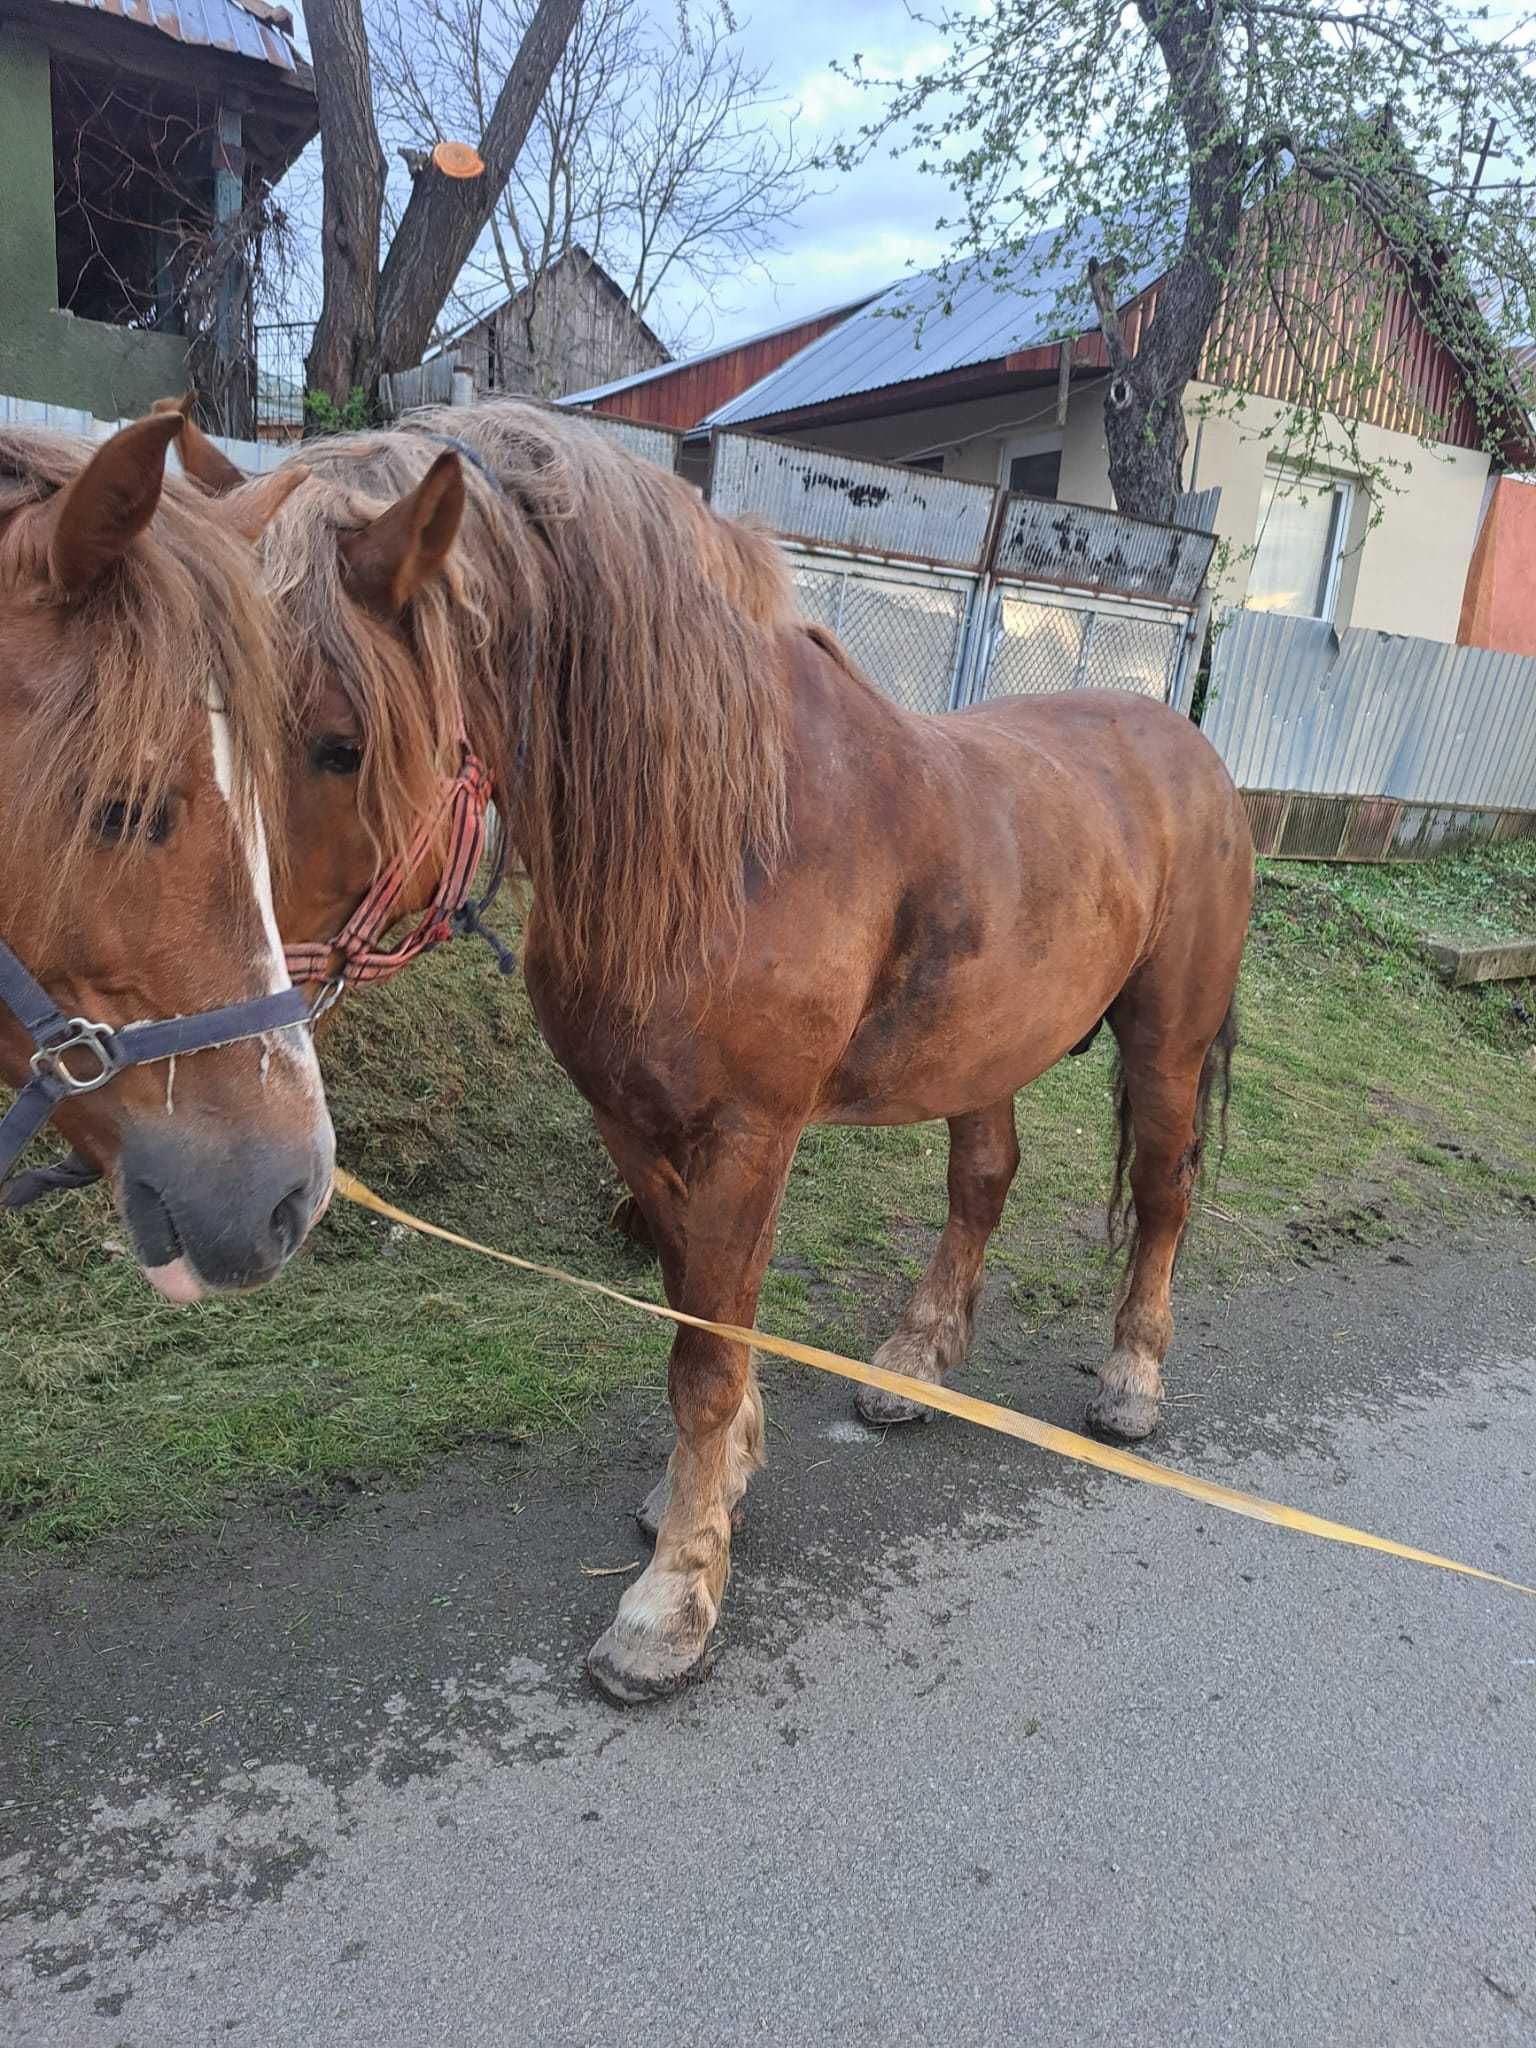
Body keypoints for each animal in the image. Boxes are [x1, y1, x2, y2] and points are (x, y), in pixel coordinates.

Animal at [177, 395, 1253, 1695]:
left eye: (340, 743)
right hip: (982, 1048)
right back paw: (913, 1363)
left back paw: (1133, 1380)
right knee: (983, 1180)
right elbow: (698, 1311)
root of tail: (1188, 745)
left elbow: (708, 1346)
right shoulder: (633, 1123)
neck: (731, 833)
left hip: (1166, 1039)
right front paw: (715, 1482)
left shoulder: (747, 1132)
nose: (216, 1016)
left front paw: (670, 1601)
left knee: (1162, 1190)